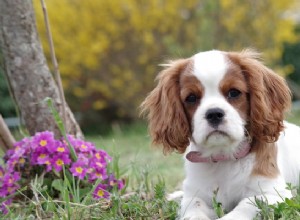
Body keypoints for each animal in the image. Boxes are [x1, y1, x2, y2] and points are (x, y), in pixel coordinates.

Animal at [141, 49, 300, 219]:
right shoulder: (194, 194)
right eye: (191, 98)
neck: (222, 156)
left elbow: (247, 204)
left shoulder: (274, 194)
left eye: (234, 92)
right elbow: (194, 204)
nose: (214, 114)